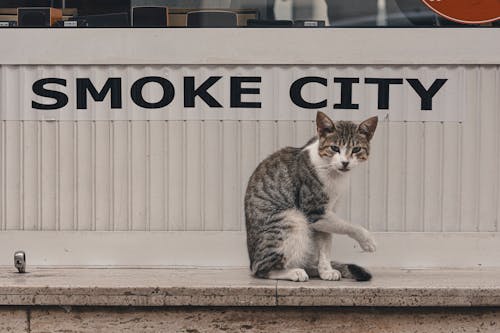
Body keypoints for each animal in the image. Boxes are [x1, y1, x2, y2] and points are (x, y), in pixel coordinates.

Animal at [244, 111, 376, 280]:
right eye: (334, 148)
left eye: (356, 149)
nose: (345, 162)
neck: (334, 175)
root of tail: (251, 260)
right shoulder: (315, 211)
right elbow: (347, 225)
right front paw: (367, 240)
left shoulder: (328, 212)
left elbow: (326, 243)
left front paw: (326, 270)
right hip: (291, 218)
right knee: (262, 269)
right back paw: (293, 271)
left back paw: (311, 268)